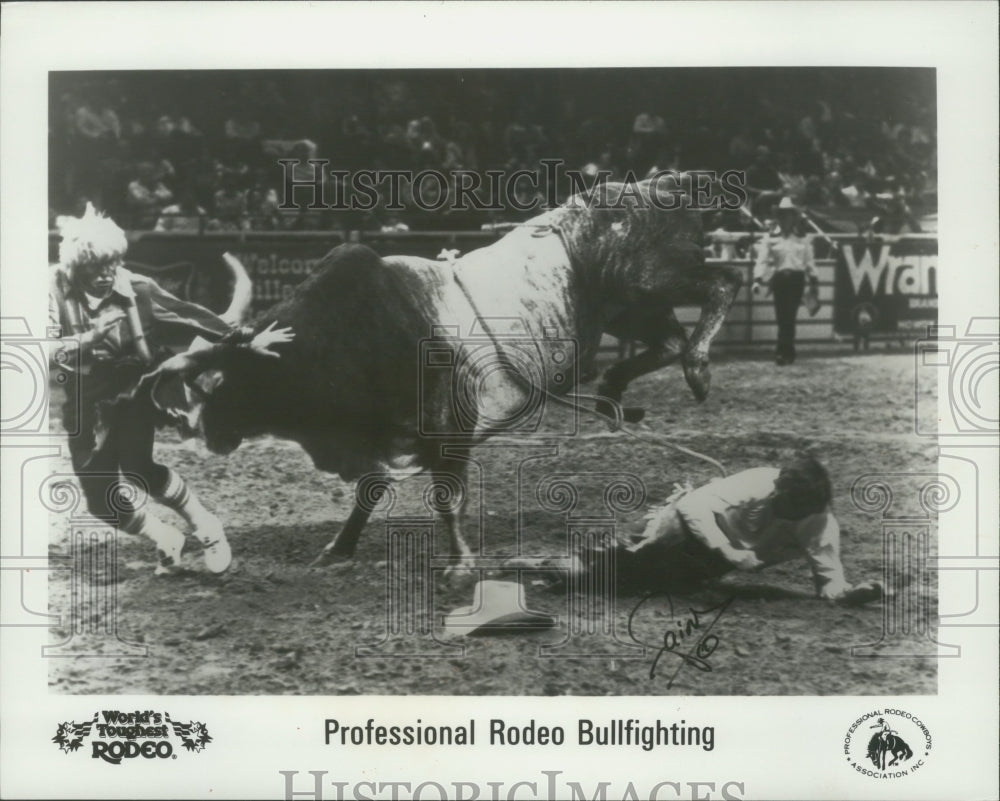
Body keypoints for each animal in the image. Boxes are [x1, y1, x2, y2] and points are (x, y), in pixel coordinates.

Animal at [148, 181, 744, 568]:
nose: (203, 431)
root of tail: (661, 184)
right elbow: (369, 491)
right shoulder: (384, 439)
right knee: (666, 338)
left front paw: (460, 561)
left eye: (228, 380)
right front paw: (338, 550)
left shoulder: (448, 429)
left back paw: (697, 371)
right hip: (630, 308)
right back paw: (615, 388)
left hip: (651, 280)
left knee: (721, 283)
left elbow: (445, 497)